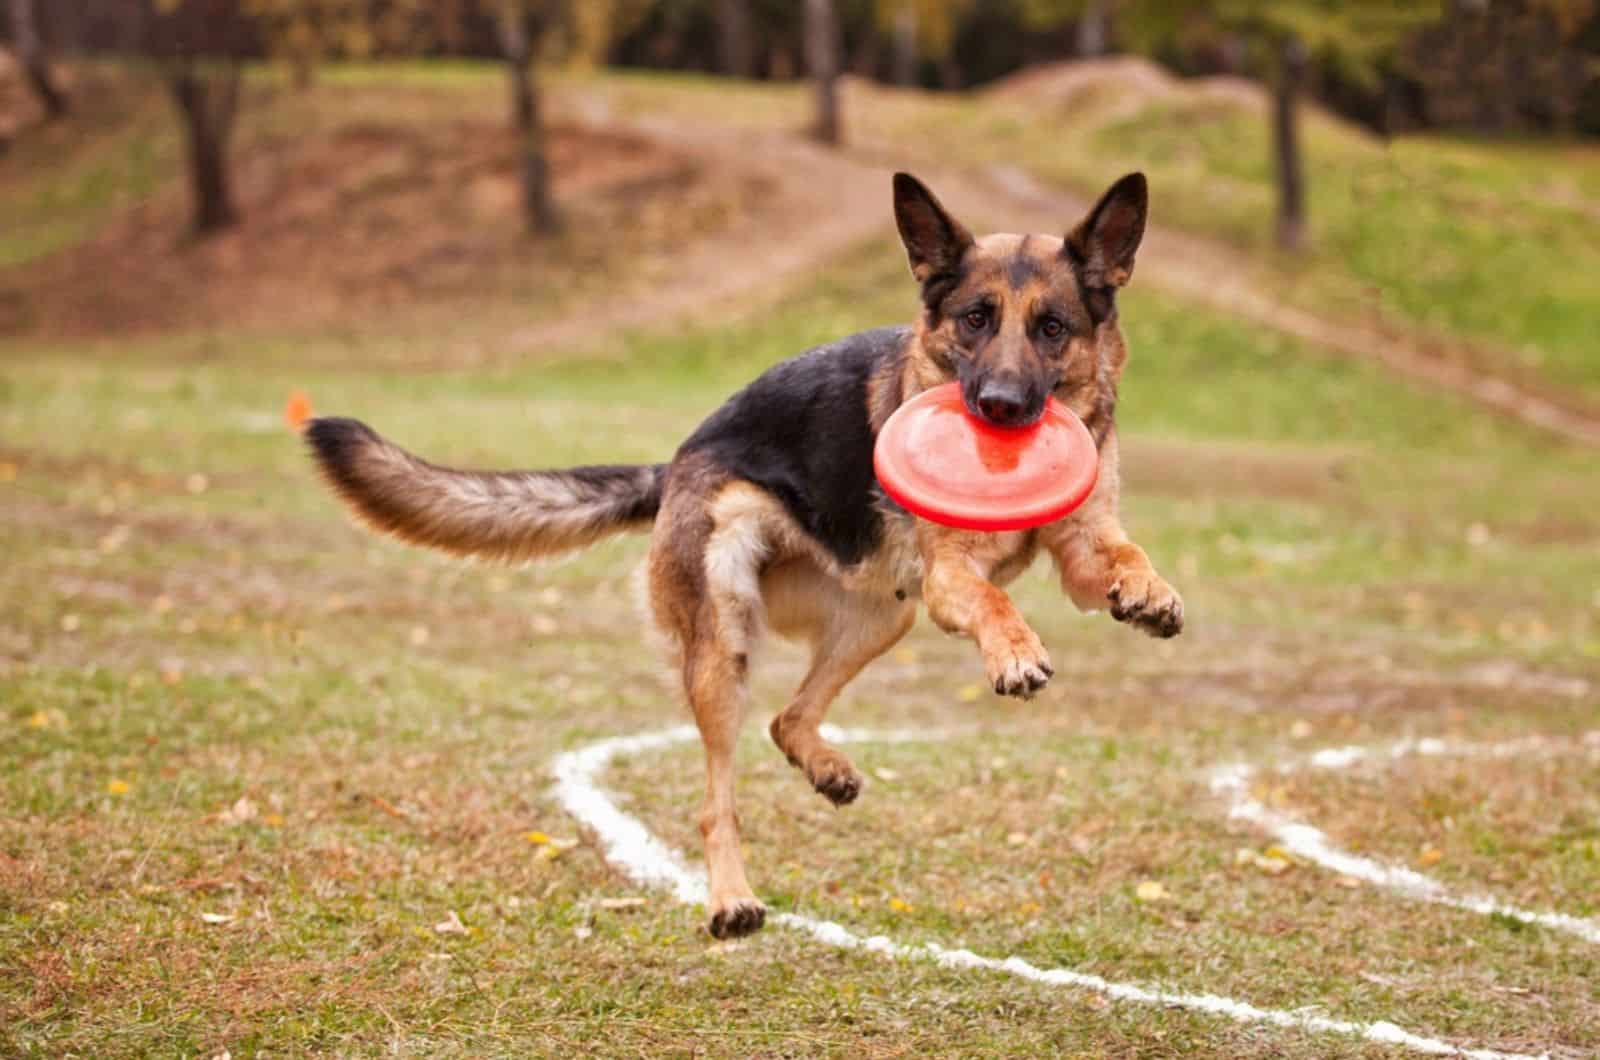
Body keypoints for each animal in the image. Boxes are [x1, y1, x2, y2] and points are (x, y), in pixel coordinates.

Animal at [305, 172, 1190, 941]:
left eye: (1051, 327)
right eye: (975, 318)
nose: (1000, 409)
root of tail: (674, 465)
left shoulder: (1079, 551)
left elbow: (1121, 552)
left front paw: (1150, 595)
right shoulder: (949, 578)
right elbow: (995, 600)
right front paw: (1013, 651)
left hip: (881, 619)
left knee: (786, 717)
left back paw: (825, 767)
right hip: (726, 636)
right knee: (718, 794)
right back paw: (730, 899)